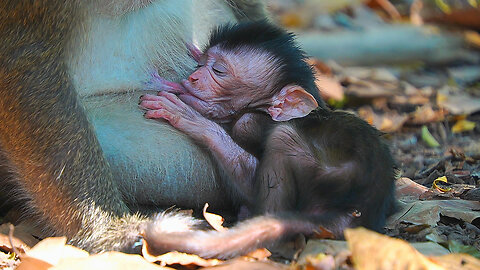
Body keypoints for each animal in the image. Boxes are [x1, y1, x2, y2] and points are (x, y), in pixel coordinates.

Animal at [139, 22, 394, 258]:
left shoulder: (252, 123)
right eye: (201, 64)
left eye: (219, 70)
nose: (193, 77)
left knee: (282, 140)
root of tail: (351, 214)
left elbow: (250, 170)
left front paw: (188, 116)